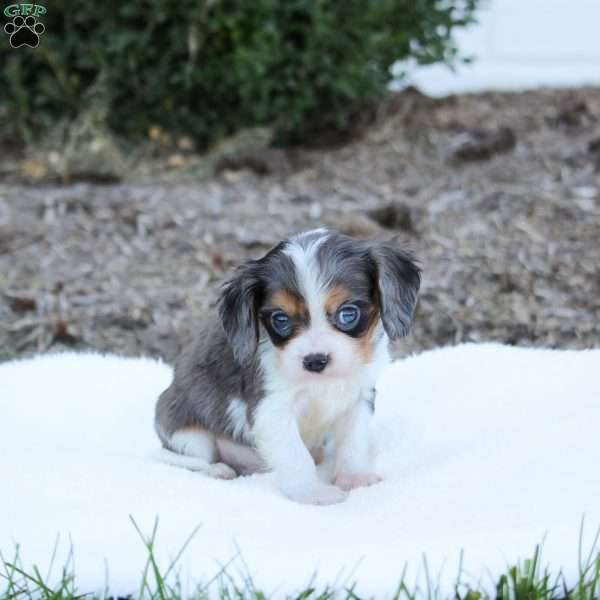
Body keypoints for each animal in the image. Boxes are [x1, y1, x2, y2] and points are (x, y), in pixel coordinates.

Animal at [155, 230, 420, 506]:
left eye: (348, 313)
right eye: (280, 319)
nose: (315, 360)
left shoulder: (358, 397)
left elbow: (354, 440)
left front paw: (354, 477)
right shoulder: (271, 410)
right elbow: (296, 456)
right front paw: (312, 493)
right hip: (189, 434)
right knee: (180, 458)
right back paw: (217, 469)